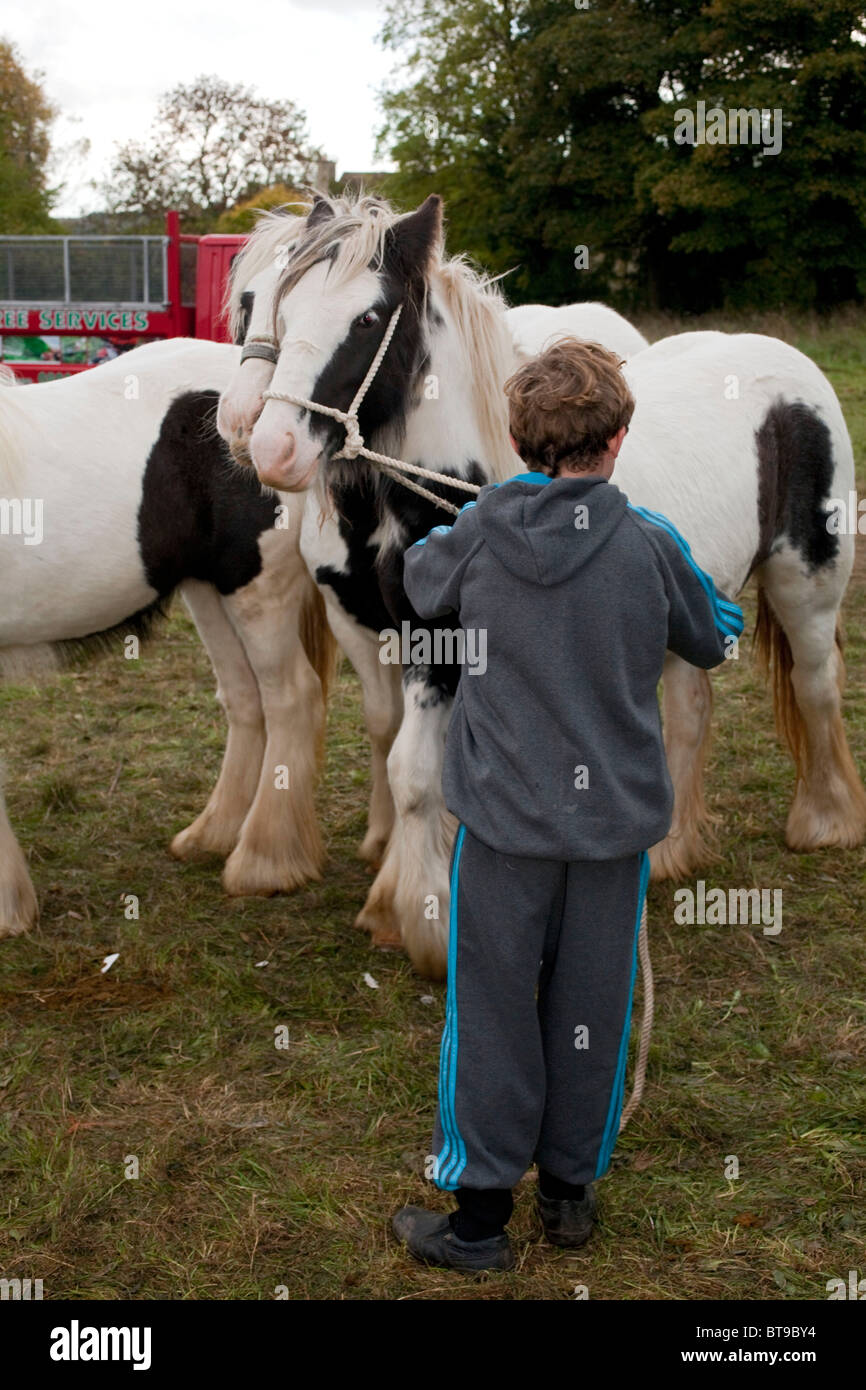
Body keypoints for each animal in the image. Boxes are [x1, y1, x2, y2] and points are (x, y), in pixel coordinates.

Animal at [0, 336, 335, 939]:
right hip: (207, 593)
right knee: (246, 700)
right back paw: (212, 836)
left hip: (255, 590)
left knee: (291, 698)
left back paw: (264, 864)